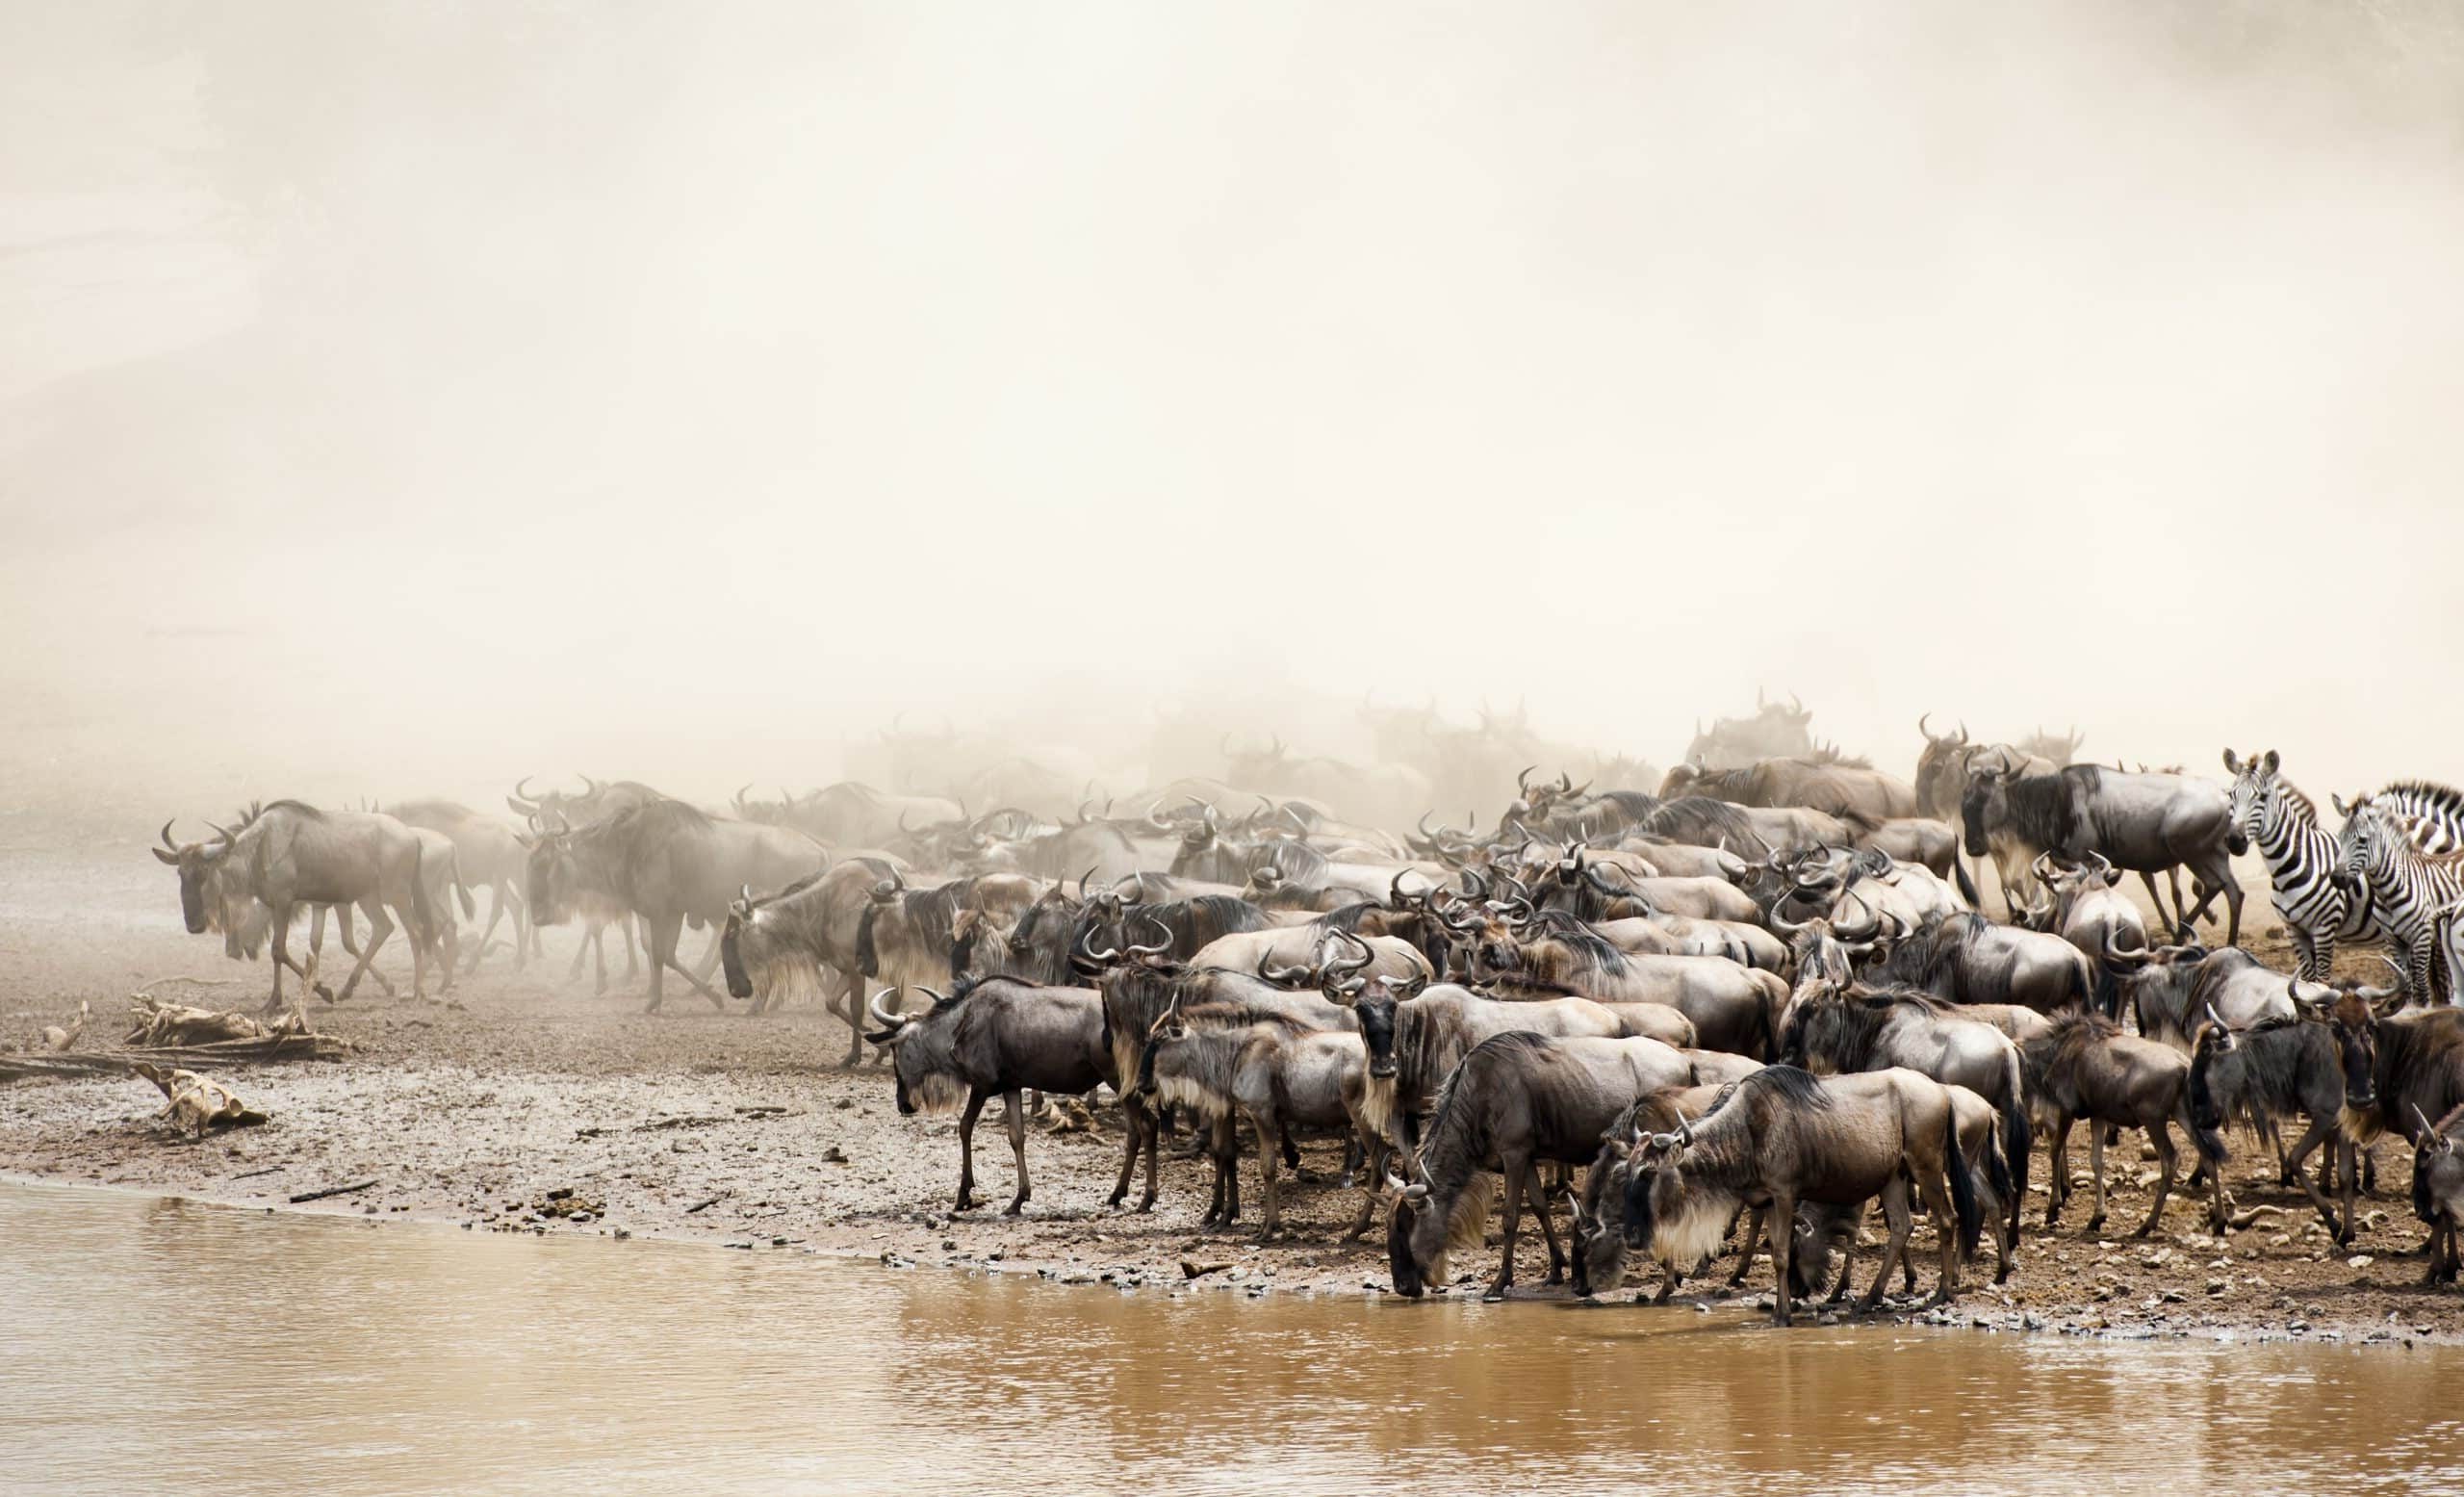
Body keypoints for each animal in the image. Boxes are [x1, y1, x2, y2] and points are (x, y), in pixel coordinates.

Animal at [2227, 749, 2355, 986]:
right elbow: (2307, 978)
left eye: (2262, 797)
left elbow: (2321, 981)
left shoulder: (2324, 928)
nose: (2234, 841)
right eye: (2232, 795)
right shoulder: (2294, 929)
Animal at [2325, 799, 2464, 1006]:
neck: (2388, 893)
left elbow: (2421, 989)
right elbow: (2405, 986)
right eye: (2340, 839)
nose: (2336, 878)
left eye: (2362, 841)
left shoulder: (2421, 938)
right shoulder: (2394, 941)